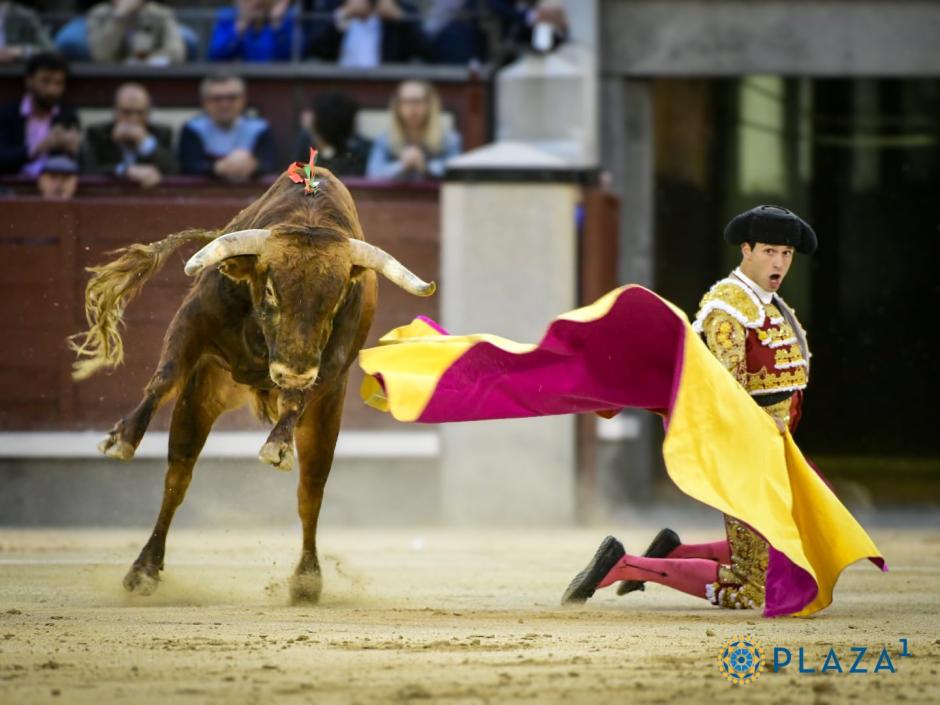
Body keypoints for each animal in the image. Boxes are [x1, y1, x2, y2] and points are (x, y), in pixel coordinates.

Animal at [68, 169, 436, 600]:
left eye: (336, 298)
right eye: (272, 290)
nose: (293, 370)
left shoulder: (327, 367)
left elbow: (295, 406)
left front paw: (277, 446)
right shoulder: (193, 321)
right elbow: (165, 378)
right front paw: (122, 438)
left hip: (326, 415)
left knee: (310, 491)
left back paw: (307, 579)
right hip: (203, 393)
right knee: (178, 476)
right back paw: (144, 569)